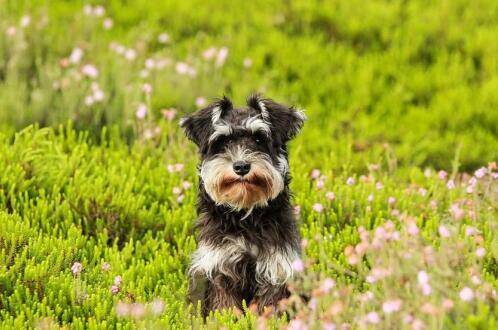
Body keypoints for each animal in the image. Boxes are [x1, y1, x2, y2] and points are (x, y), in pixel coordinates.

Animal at [181, 94, 306, 316]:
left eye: (259, 139)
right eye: (222, 141)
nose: (241, 166)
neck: (245, 215)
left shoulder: (275, 270)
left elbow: (268, 307)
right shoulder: (220, 268)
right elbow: (225, 308)